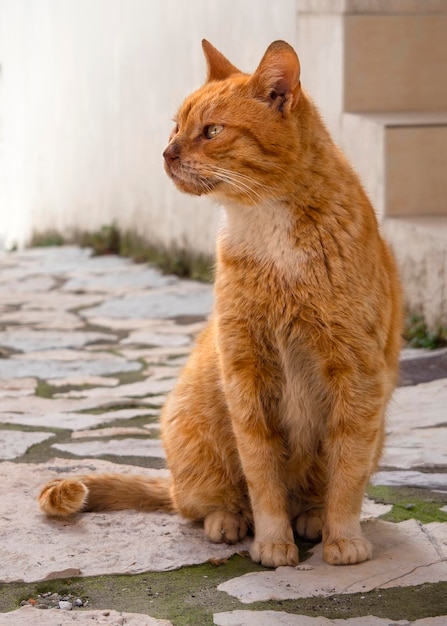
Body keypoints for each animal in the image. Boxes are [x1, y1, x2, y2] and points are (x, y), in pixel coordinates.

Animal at [38, 39, 402, 564]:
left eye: (211, 131)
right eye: (175, 127)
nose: (166, 153)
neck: (267, 228)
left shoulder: (357, 377)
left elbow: (347, 473)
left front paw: (342, 537)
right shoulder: (244, 371)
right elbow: (262, 474)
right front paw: (272, 542)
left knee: (314, 491)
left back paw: (312, 517)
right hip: (195, 424)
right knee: (197, 502)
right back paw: (229, 521)